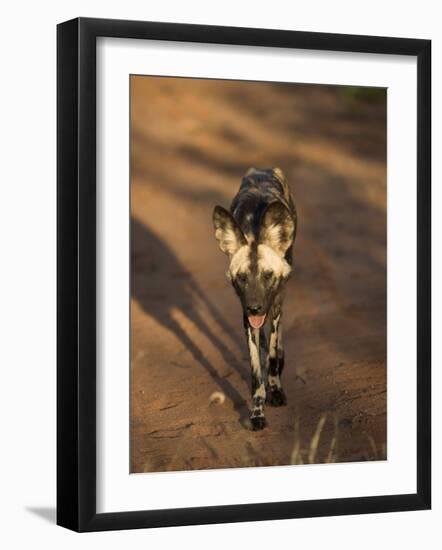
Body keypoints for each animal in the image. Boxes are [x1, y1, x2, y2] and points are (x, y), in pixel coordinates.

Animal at [213, 168, 296, 432]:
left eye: (268, 275)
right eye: (242, 278)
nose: (255, 307)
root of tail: (262, 169)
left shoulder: (275, 303)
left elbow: (271, 354)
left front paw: (276, 390)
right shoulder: (246, 317)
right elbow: (256, 370)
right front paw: (257, 412)